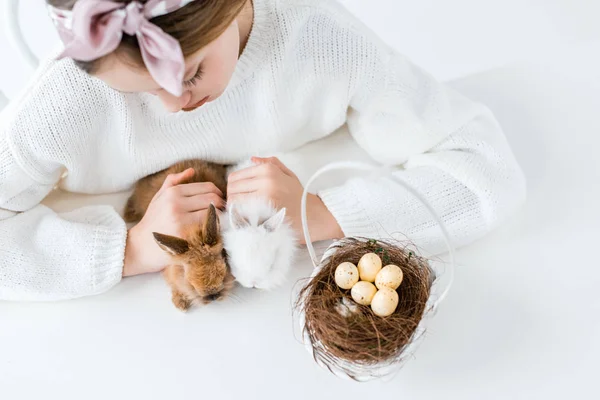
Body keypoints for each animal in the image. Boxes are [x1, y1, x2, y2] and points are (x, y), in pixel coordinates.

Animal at [123, 160, 232, 312]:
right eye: (188, 278)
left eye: (224, 264)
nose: (213, 296)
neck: (192, 229)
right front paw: (180, 304)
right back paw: (126, 215)